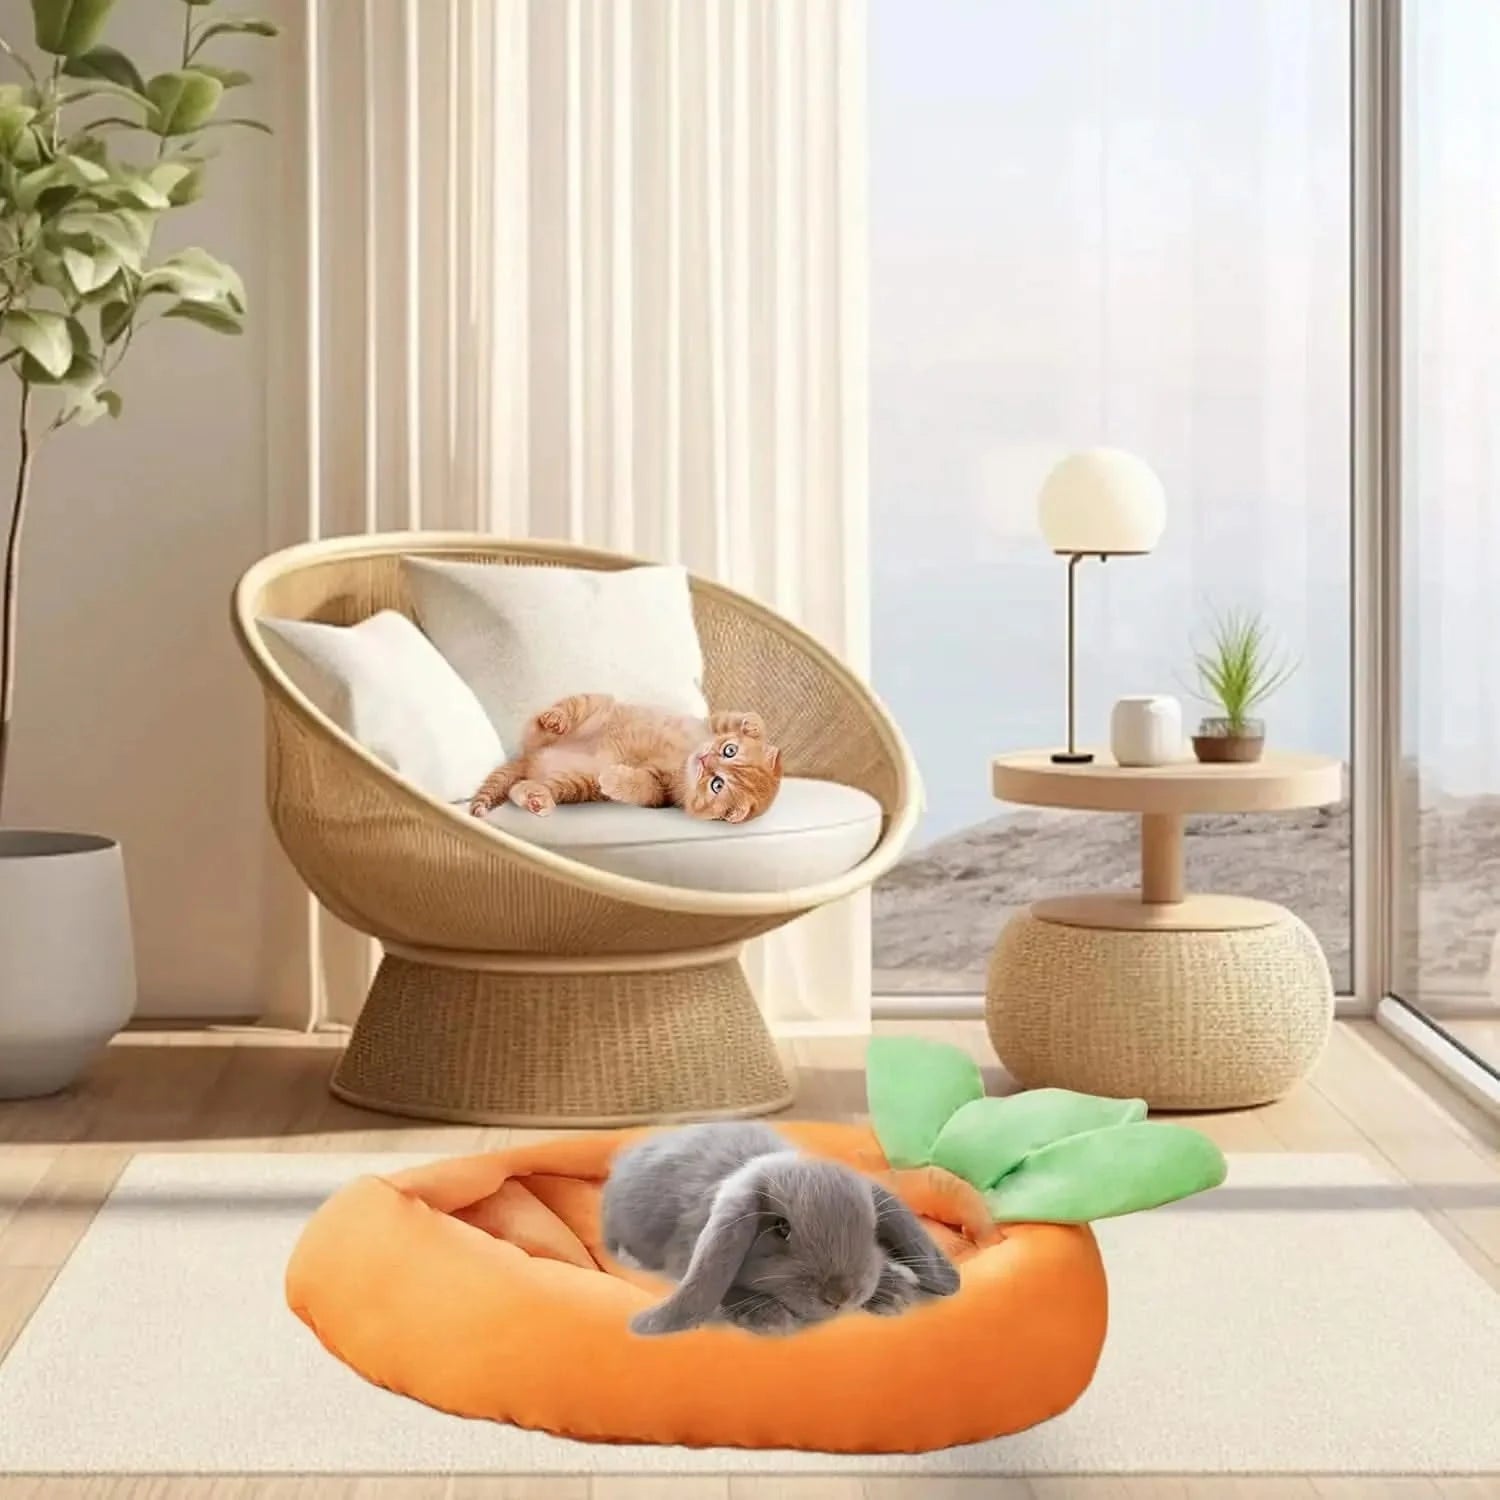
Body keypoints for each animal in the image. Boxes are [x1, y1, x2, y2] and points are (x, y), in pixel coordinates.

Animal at [603, 1121, 961, 1336]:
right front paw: (767, 1316)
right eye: (781, 1228)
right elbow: (725, 1288)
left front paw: (891, 1291)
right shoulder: (685, 1254)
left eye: (872, 1230)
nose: (840, 1296)